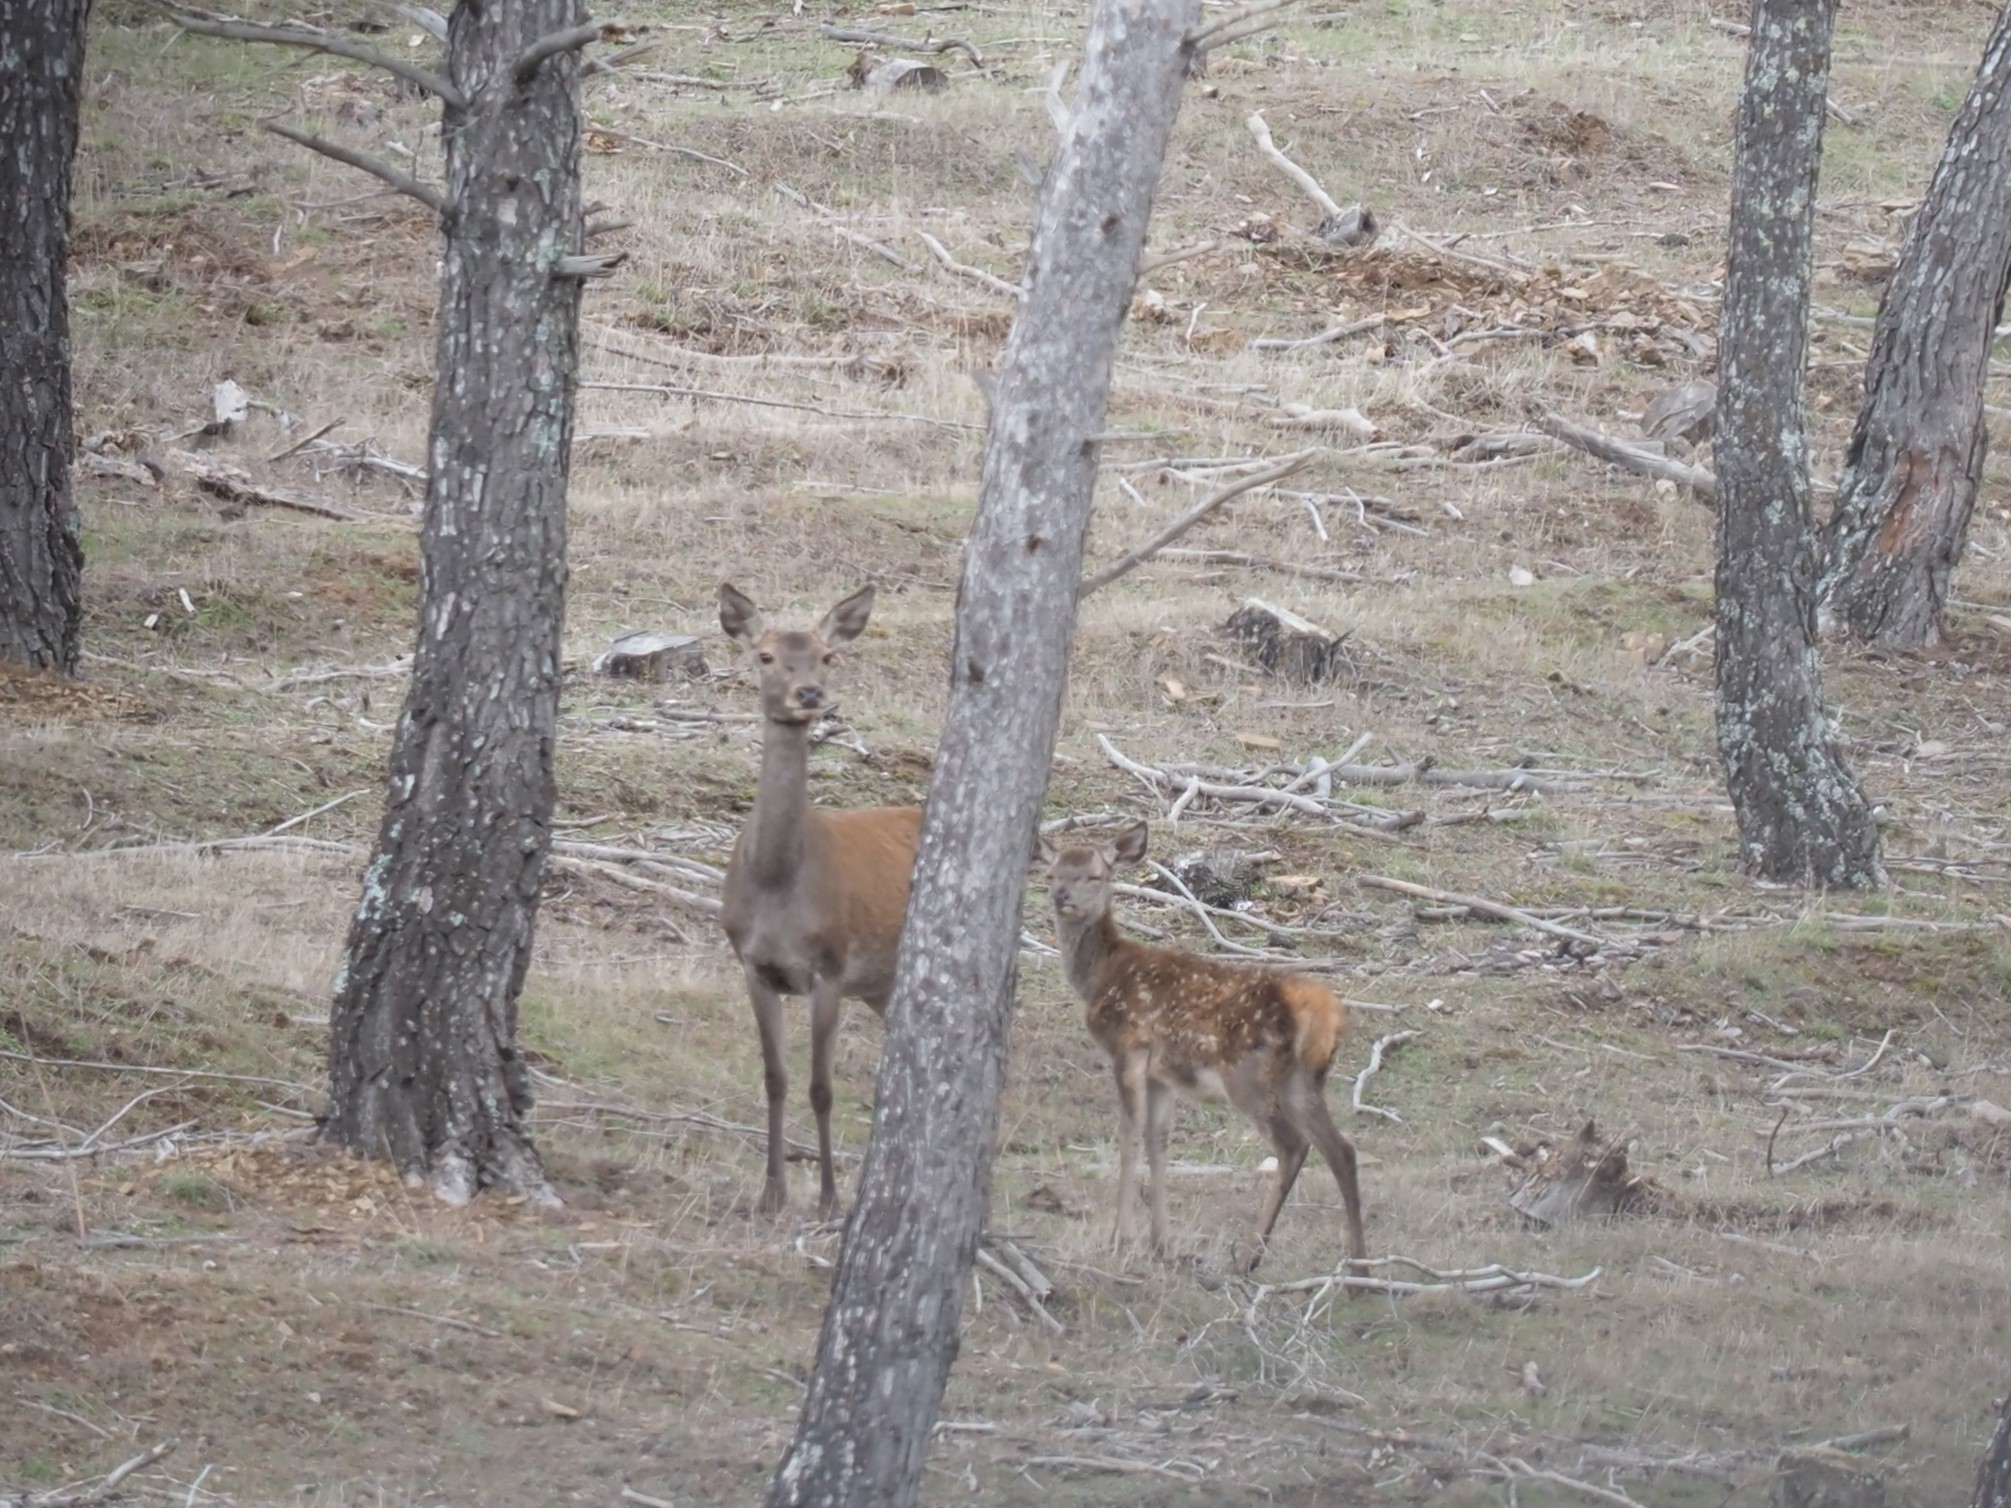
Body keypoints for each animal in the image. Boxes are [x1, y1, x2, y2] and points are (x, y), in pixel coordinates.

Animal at [715, 583, 921, 1222]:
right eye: (765, 655)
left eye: (827, 655)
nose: (808, 693)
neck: (778, 886)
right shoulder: (753, 966)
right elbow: (776, 1078)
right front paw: (771, 1194)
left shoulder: (829, 966)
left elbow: (821, 1088)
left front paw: (829, 1197)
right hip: (880, 984)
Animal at [1037, 828, 1367, 1278]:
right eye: (1052, 874)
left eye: (1093, 876)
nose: (1061, 897)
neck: (1098, 978)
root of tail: (1322, 1013)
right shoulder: (1160, 1073)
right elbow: (1158, 1140)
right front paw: (1160, 1243)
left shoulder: (1128, 1046)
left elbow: (1128, 1133)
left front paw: (1122, 1238)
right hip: (1302, 1079)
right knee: (1341, 1150)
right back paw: (1360, 1267)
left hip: (1247, 1073)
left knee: (1293, 1145)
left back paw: (1248, 1257)